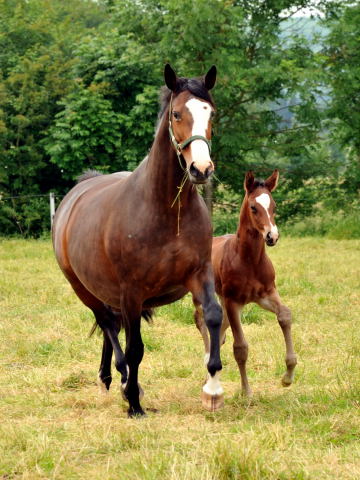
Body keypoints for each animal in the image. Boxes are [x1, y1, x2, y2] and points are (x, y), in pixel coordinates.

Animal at [195, 171, 296, 396]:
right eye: (253, 207)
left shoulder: (266, 294)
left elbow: (285, 315)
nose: (272, 236)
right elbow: (240, 347)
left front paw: (288, 376)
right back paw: (207, 365)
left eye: (274, 206)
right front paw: (246, 392)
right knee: (201, 320)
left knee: (220, 327)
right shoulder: (234, 301)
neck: (249, 260)